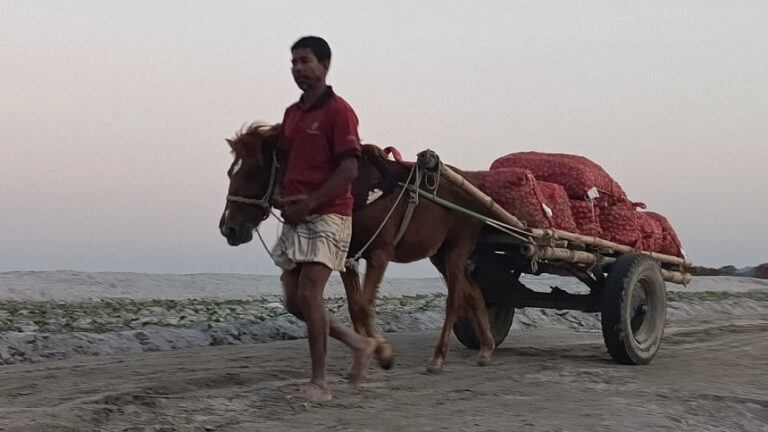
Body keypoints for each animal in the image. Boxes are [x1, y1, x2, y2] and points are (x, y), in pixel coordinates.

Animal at [219, 123, 496, 372]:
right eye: (230, 172)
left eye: (253, 171)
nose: (228, 228)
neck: (357, 189)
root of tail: (477, 187)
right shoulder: (347, 257)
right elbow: (354, 308)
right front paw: (367, 352)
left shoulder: (379, 253)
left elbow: (363, 305)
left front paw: (383, 353)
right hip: (439, 254)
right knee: (475, 294)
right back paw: (486, 348)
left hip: (457, 249)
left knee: (455, 299)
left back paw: (438, 357)